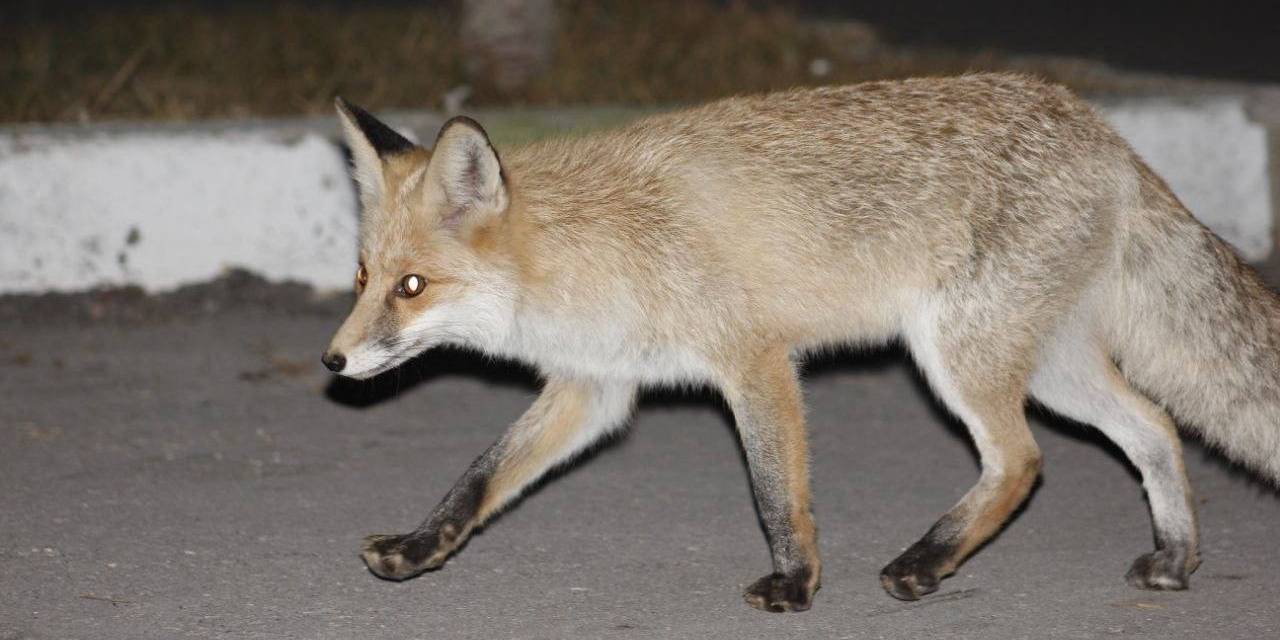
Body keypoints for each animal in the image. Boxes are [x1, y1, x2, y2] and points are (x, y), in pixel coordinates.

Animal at [320, 72, 1280, 611]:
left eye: (413, 287)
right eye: (363, 277)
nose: (333, 362)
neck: (595, 247)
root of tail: (1104, 131)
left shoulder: (756, 361)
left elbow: (776, 493)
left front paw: (794, 584)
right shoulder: (595, 388)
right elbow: (479, 478)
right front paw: (419, 548)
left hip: (959, 356)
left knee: (1022, 462)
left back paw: (925, 564)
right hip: (1049, 366)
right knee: (1154, 426)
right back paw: (1177, 558)